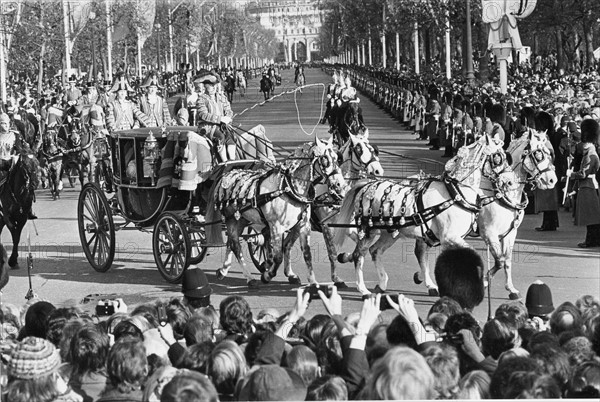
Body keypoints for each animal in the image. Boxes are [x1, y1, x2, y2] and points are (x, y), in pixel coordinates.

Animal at [206, 137, 346, 288]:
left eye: (337, 158)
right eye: (325, 159)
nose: (340, 185)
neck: (289, 189)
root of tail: (226, 175)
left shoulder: (303, 225)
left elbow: (307, 254)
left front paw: (313, 282)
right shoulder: (276, 227)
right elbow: (278, 256)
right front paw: (267, 275)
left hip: (241, 219)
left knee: (231, 242)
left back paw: (223, 270)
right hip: (231, 218)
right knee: (236, 246)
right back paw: (249, 277)